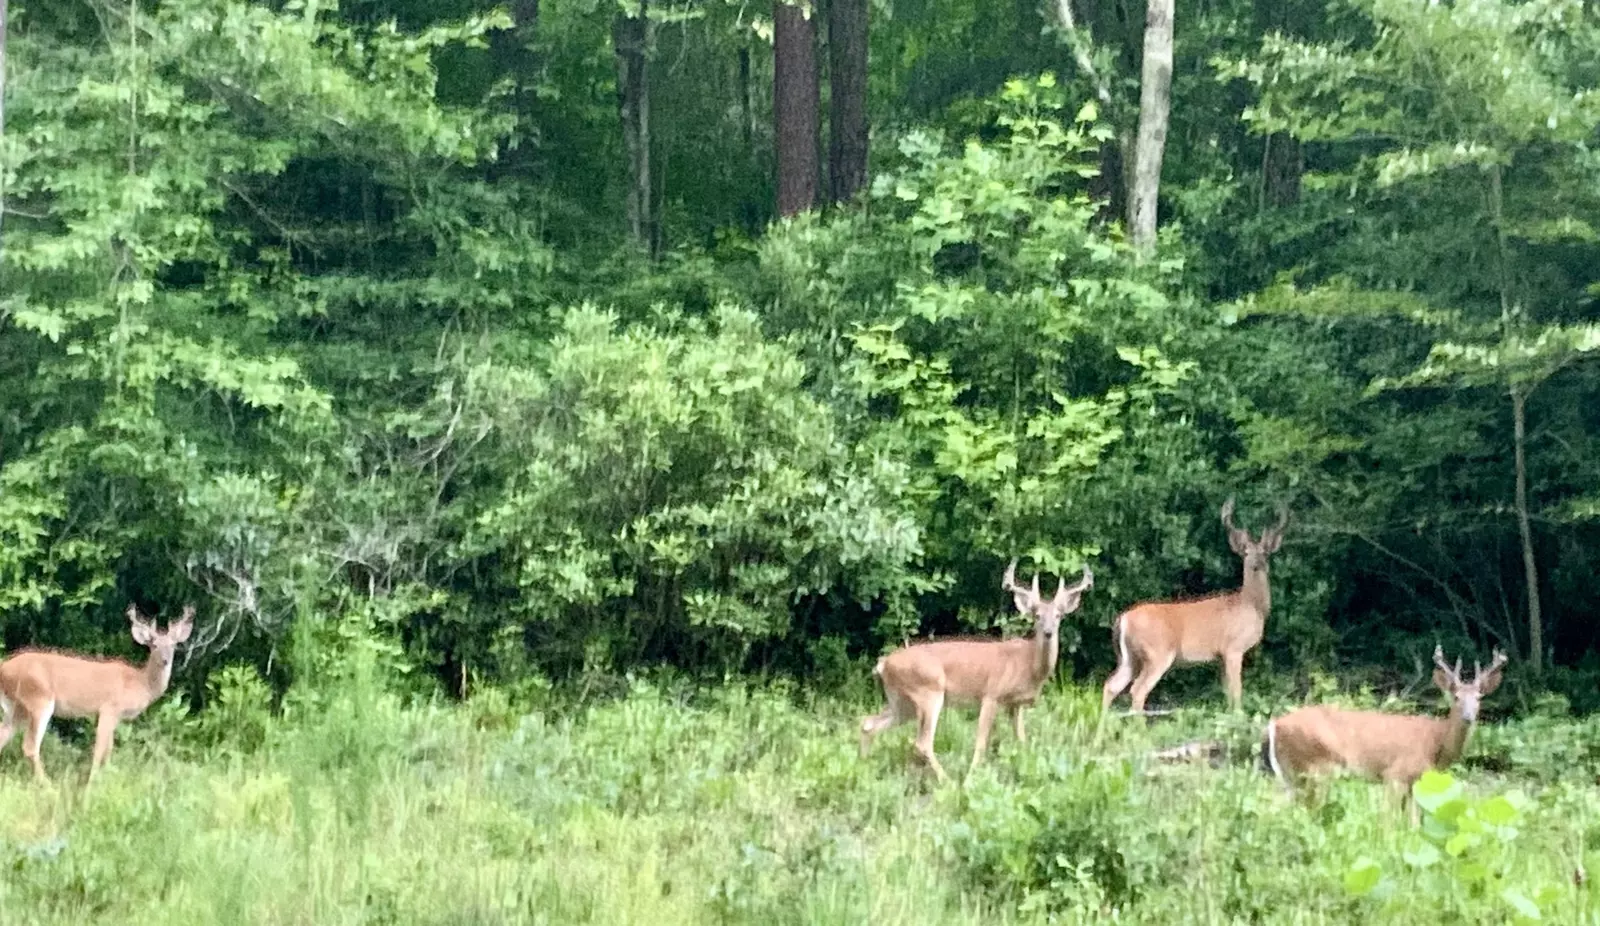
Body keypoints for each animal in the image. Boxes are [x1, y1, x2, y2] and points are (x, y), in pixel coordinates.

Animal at [0, 601, 195, 783]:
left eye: (174, 645)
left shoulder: (116, 716)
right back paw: (49, 785)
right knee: (30, 747)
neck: (140, 684)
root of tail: (4, 668)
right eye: (153, 645)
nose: (165, 660)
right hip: (39, 699)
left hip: (17, 707)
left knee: (4, 734)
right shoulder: (109, 708)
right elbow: (100, 750)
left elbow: (108, 750)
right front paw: (92, 783)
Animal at [857, 556, 1094, 783]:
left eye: (1058, 615)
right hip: (929, 691)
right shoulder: (991, 694)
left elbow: (1021, 739)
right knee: (922, 742)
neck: (1028, 665)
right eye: (1036, 615)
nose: (1048, 632)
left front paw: (1028, 768)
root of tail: (884, 663)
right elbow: (981, 742)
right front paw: (971, 778)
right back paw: (949, 782)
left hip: (901, 701)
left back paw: (864, 766)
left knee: (868, 723)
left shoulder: (1015, 704)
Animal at [1100, 495, 1286, 713]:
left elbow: (1226, 693)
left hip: (1129, 658)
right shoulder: (1233, 648)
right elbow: (1237, 691)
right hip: (1157, 653)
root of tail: (1123, 619)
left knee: (1111, 685)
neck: (1251, 604)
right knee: (1137, 690)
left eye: (1265, 552)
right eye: (1246, 553)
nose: (1257, 565)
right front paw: (1238, 715)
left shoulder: (1220, 656)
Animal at [1254, 649, 1504, 825]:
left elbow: (1413, 823)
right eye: (1456, 696)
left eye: (1479, 697)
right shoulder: (1394, 774)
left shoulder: (1416, 783)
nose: (1468, 716)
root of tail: (1274, 725)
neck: (1435, 744)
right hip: (1316, 768)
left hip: (1291, 774)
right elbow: (1388, 819)